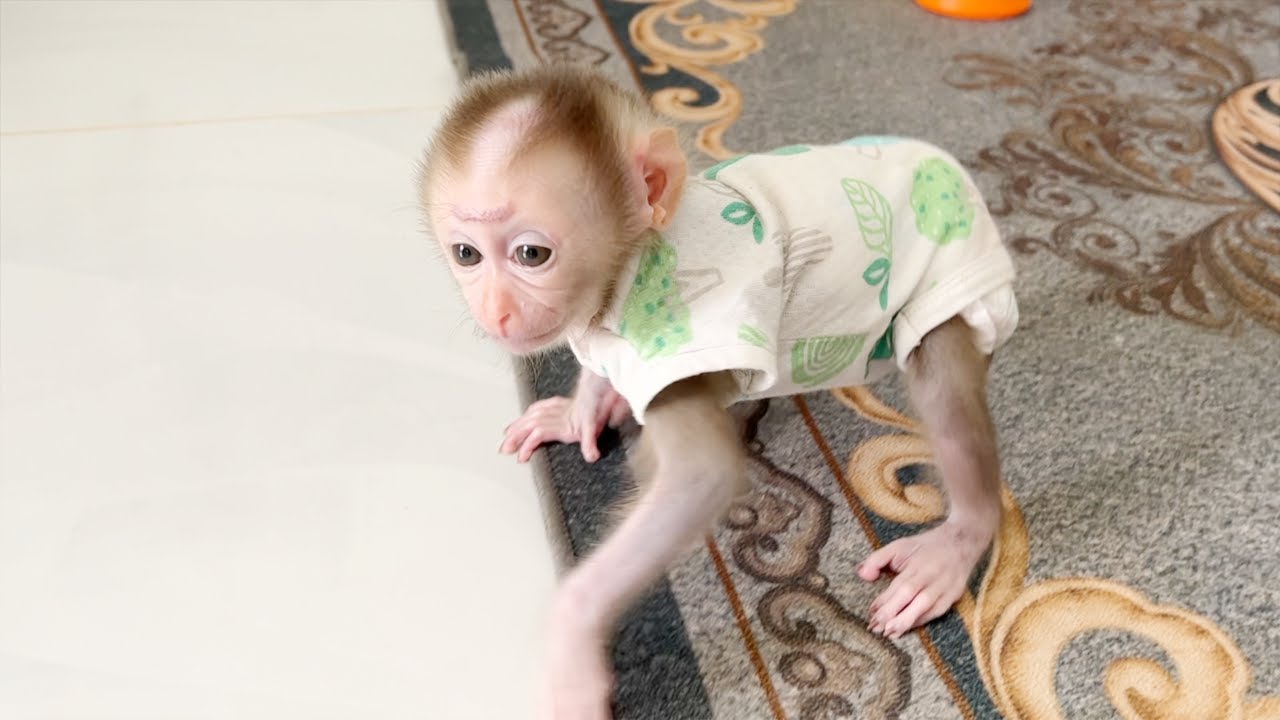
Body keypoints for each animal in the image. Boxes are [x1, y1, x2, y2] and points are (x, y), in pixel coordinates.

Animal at [418, 63, 1018, 719]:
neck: (624, 274)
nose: (496, 311)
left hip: (954, 272)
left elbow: (701, 476)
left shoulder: (685, 334)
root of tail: (948, 167)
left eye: (531, 254)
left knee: (943, 382)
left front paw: (569, 646)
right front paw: (584, 408)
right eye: (467, 254)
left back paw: (961, 537)